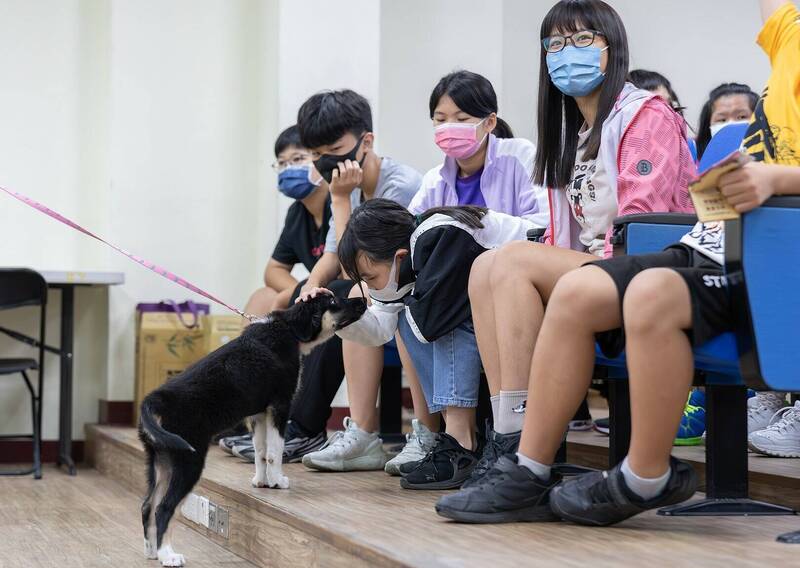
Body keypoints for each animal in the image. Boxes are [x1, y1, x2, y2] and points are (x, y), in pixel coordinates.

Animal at [137, 296, 366, 564]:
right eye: (334, 301)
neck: (287, 329)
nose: (363, 300)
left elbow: (260, 451)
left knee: (147, 506)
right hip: (187, 461)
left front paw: (261, 481)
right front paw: (277, 481)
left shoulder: (259, 413)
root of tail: (155, 400)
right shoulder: (280, 405)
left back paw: (152, 551)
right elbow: (275, 450)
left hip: (160, 460)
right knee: (164, 508)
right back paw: (168, 555)